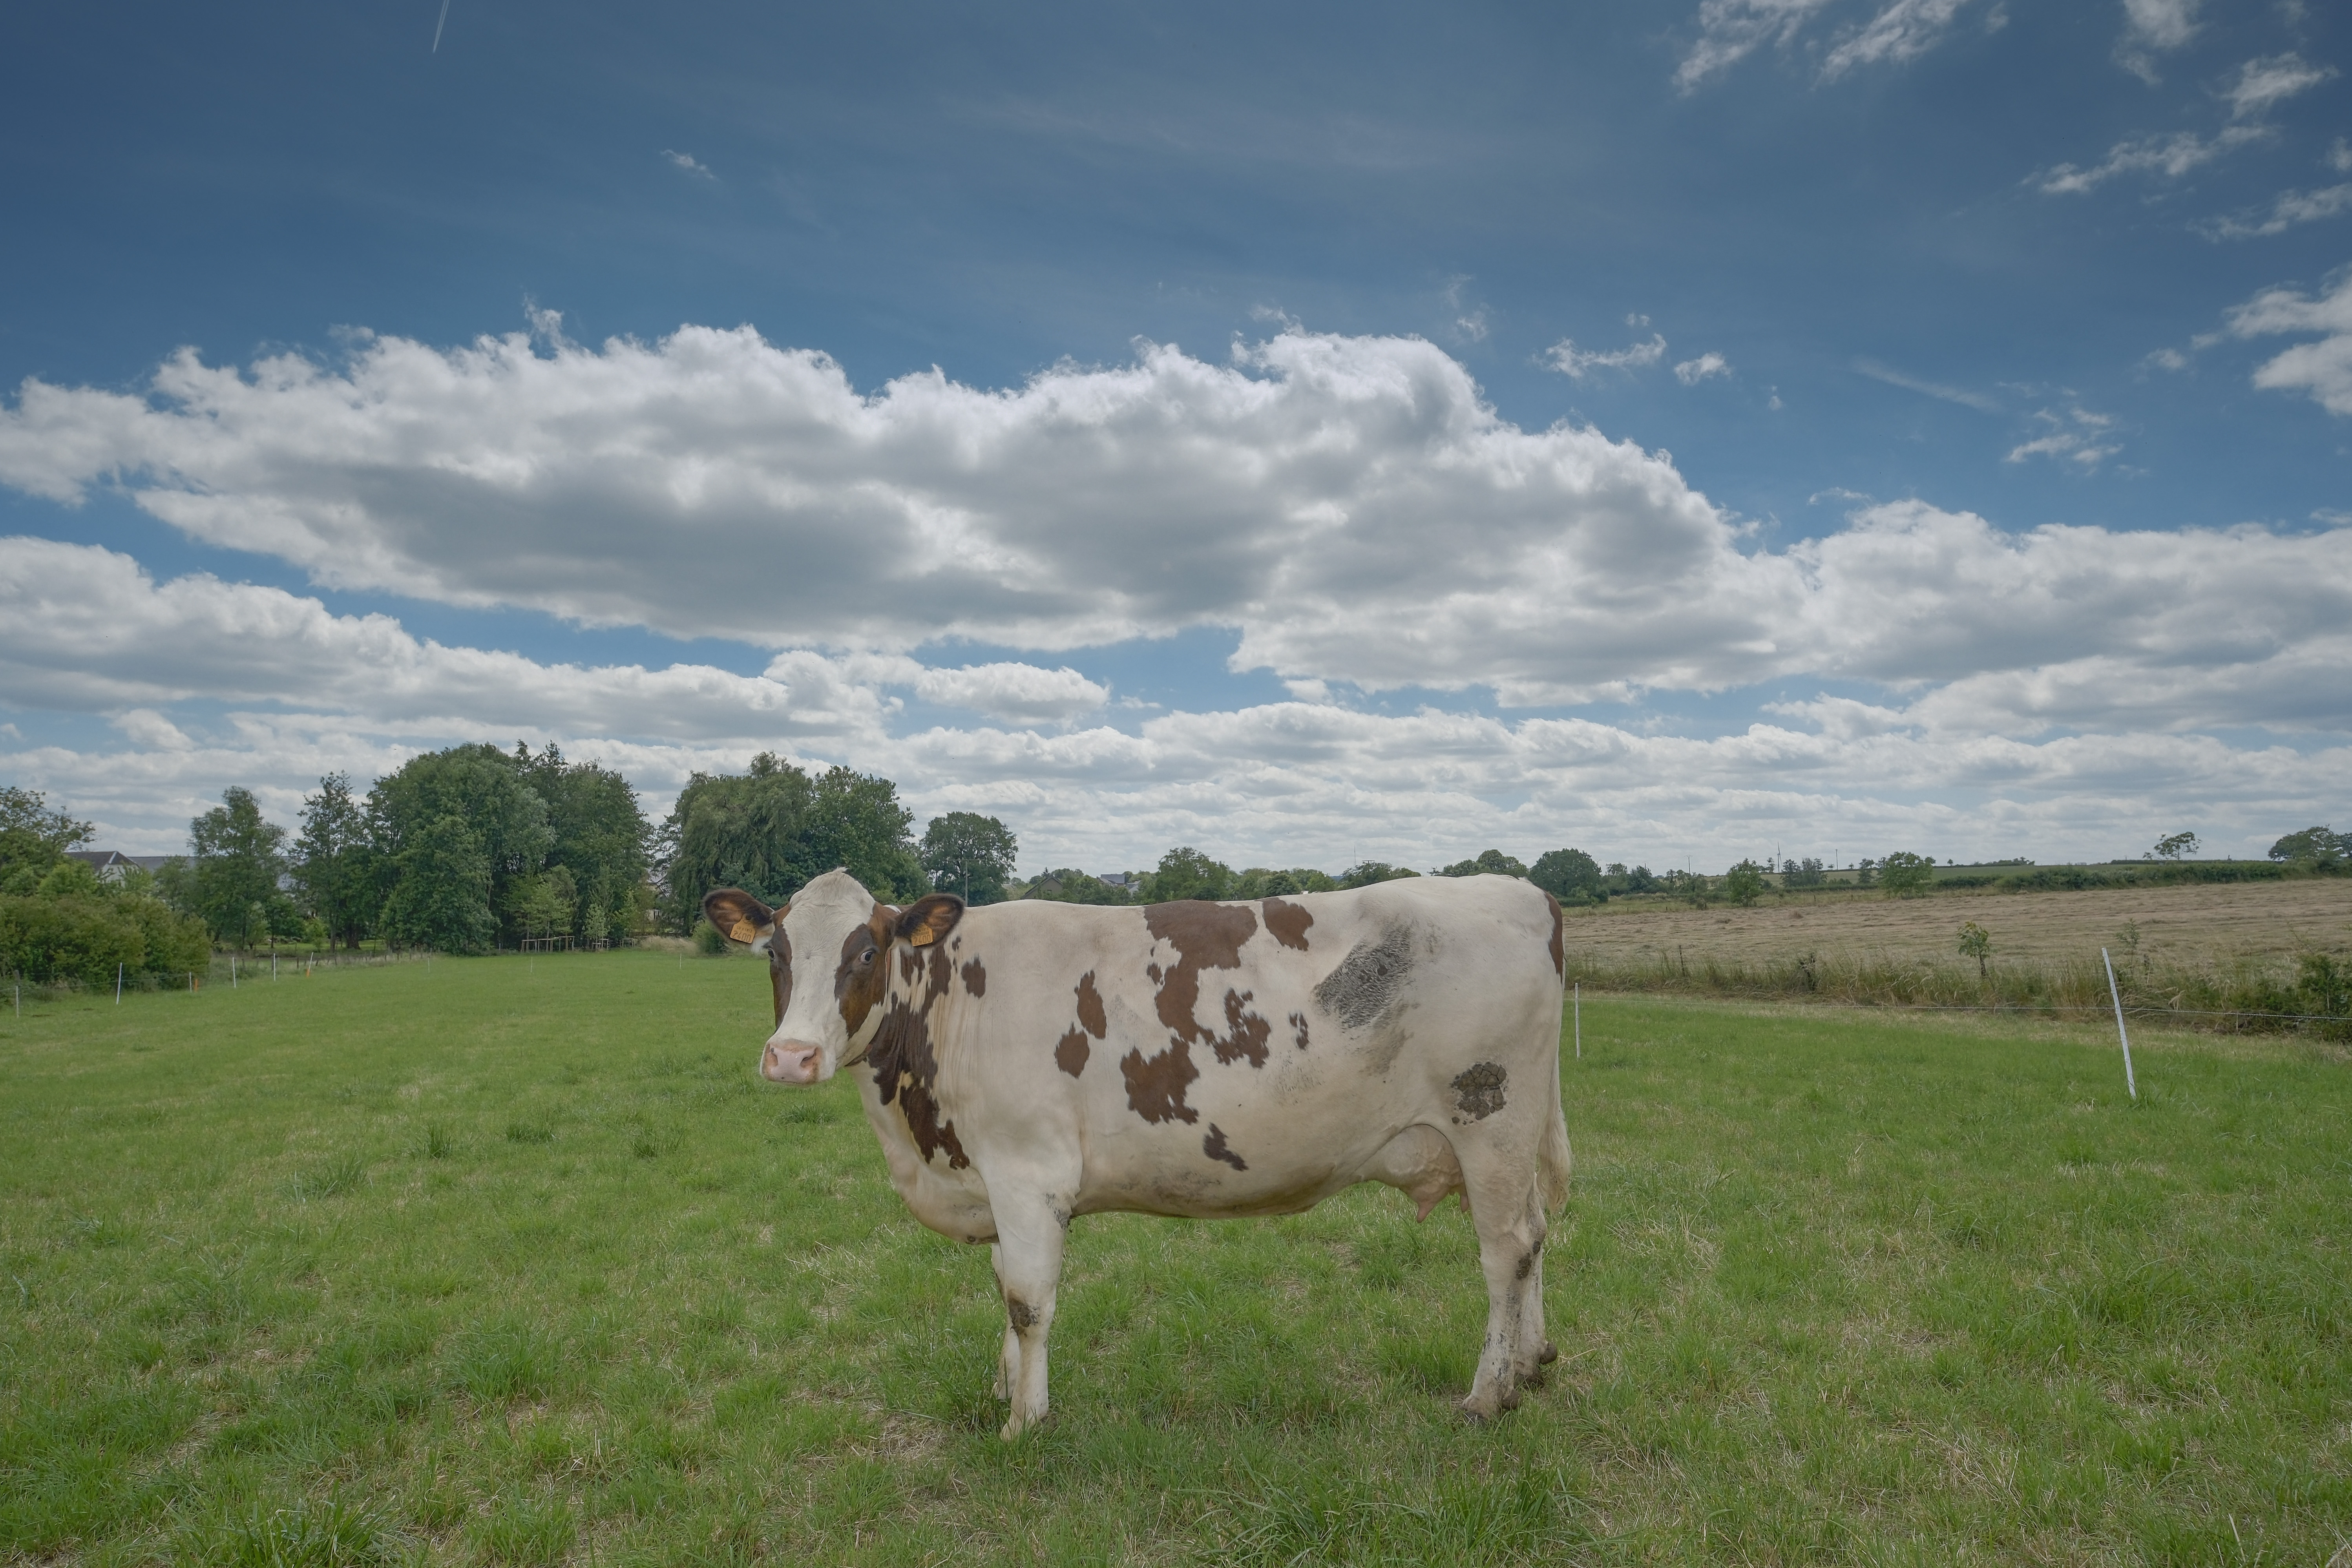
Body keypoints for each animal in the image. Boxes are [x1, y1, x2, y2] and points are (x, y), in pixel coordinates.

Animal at [703, 867, 1571, 1438]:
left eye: (866, 950)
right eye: (776, 952)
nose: (791, 1056)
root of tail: (1519, 889)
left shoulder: (1027, 1174)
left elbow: (1027, 1299)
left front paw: (1025, 1420)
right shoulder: (1000, 1184)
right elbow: (1004, 1288)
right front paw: (1003, 1389)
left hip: (1489, 1122)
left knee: (1504, 1251)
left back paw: (1488, 1395)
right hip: (1511, 1135)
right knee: (1534, 1238)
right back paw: (1531, 1364)